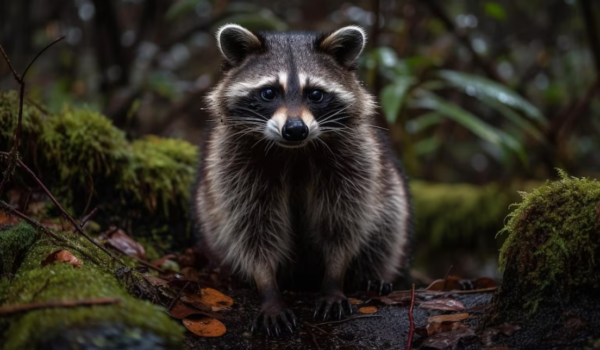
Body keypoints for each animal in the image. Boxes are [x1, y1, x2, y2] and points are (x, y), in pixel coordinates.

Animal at [193, 23, 412, 334]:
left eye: (315, 94)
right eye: (269, 93)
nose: (295, 129)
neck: (294, 151)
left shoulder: (355, 161)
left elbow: (343, 223)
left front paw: (334, 278)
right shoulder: (234, 166)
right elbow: (252, 228)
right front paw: (267, 285)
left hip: (388, 182)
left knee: (389, 222)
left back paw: (370, 276)